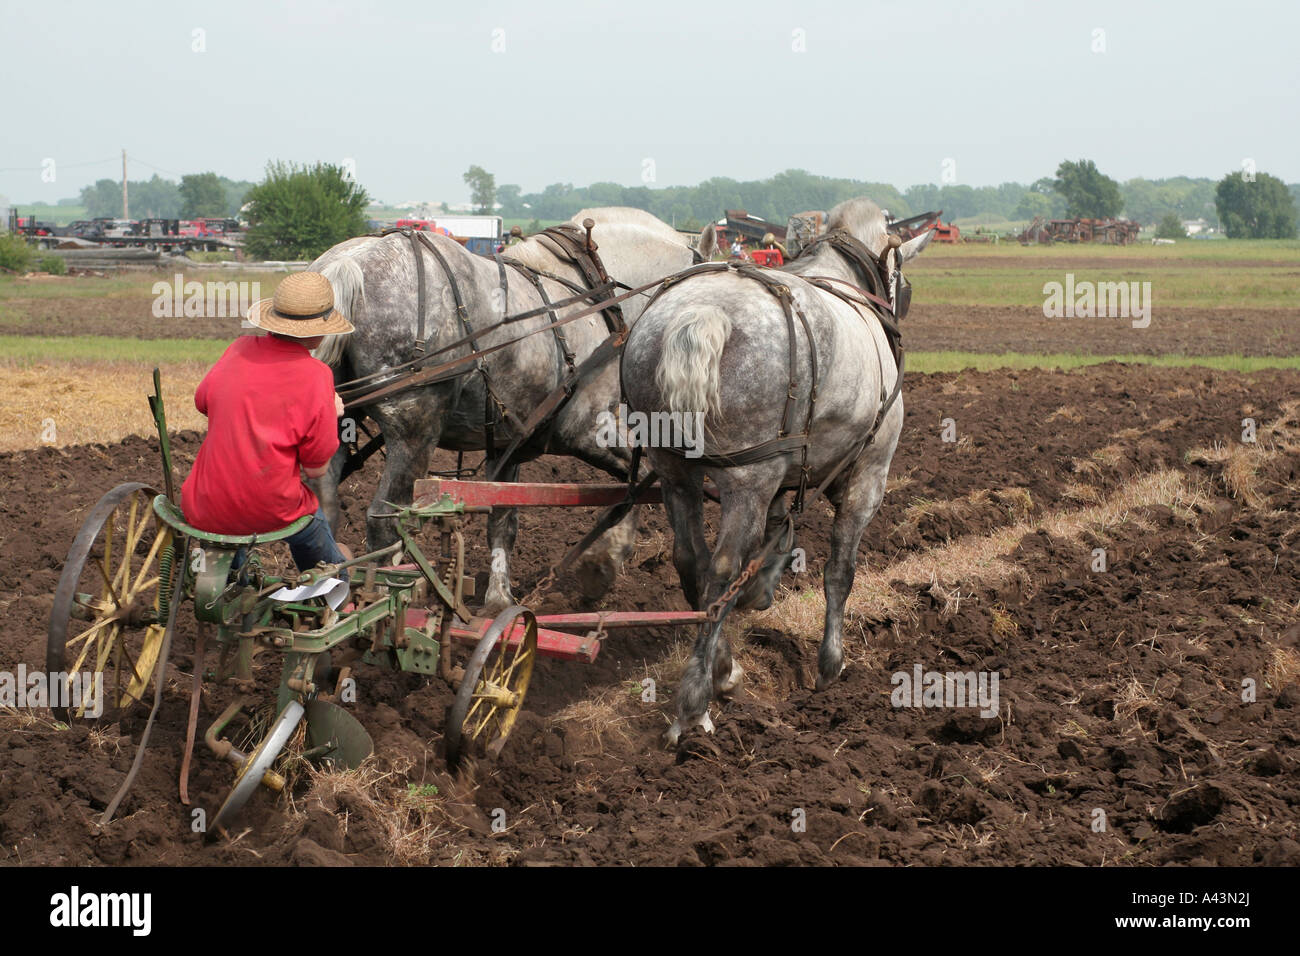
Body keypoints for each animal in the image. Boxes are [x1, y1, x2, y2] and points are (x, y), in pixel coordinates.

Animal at [306, 210, 712, 613]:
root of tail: (348, 263)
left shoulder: (508, 441)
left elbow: (503, 519)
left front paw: (499, 599)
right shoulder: (587, 427)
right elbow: (638, 481)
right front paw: (603, 565)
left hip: (340, 423)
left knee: (324, 512)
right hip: (414, 430)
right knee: (384, 523)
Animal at [618, 197, 925, 743]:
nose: (901, 301)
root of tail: (701, 313)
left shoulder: (786, 473)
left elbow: (780, 534)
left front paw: (760, 592)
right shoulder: (869, 474)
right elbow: (839, 571)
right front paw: (830, 664)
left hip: (674, 467)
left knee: (691, 561)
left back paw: (723, 668)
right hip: (749, 477)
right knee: (721, 569)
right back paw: (695, 700)